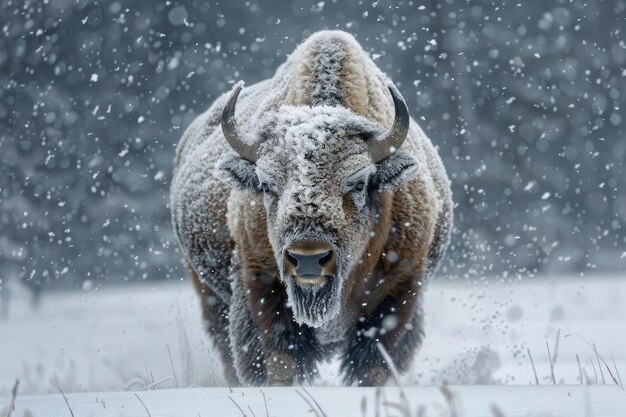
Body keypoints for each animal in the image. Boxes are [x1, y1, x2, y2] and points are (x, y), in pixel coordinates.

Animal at [171, 30, 450, 386]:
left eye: (359, 182)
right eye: (266, 184)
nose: (307, 258)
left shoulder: (400, 292)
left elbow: (374, 366)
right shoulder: (260, 286)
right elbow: (280, 362)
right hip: (208, 292)